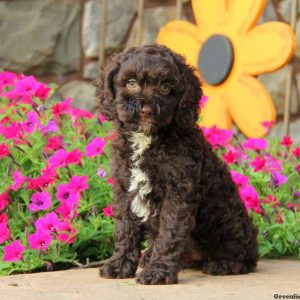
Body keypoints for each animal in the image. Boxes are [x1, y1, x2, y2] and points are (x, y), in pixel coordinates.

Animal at [95, 44, 258, 284]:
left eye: (165, 87)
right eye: (131, 83)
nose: (146, 110)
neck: (148, 139)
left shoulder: (178, 192)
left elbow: (170, 232)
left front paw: (157, 272)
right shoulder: (125, 187)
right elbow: (126, 228)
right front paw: (119, 265)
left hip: (229, 222)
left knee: (244, 254)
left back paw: (223, 264)